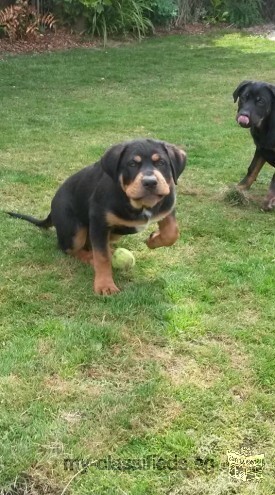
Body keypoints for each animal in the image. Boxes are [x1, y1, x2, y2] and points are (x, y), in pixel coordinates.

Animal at [7, 139, 187, 294]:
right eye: (132, 164)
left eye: (161, 163)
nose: (150, 182)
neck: (138, 204)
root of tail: (53, 205)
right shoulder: (99, 222)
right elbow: (102, 257)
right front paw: (105, 285)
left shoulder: (168, 205)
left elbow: (172, 232)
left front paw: (153, 239)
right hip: (74, 230)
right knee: (70, 248)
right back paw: (90, 257)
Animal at [234, 79, 275, 209]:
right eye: (243, 97)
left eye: (260, 101)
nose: (244, 115)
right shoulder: (261, 148)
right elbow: (252, 169)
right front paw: (240, 188)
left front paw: (269, 200)